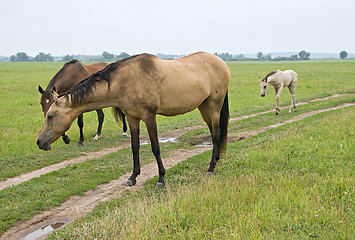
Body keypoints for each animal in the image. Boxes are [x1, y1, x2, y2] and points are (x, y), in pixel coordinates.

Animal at [36, 52, 231, 188]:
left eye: (50, 115)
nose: (39, 142)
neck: (126, 80)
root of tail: (221, 63)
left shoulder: (149, 116)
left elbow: (155, 147)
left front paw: (161, 178)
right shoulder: (132, 118)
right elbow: (135, 146)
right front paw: (133, 177)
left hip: (214, 105)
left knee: (216, 134)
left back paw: (211, 168)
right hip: (204, 106)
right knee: (214, 132)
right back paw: (216, 159)